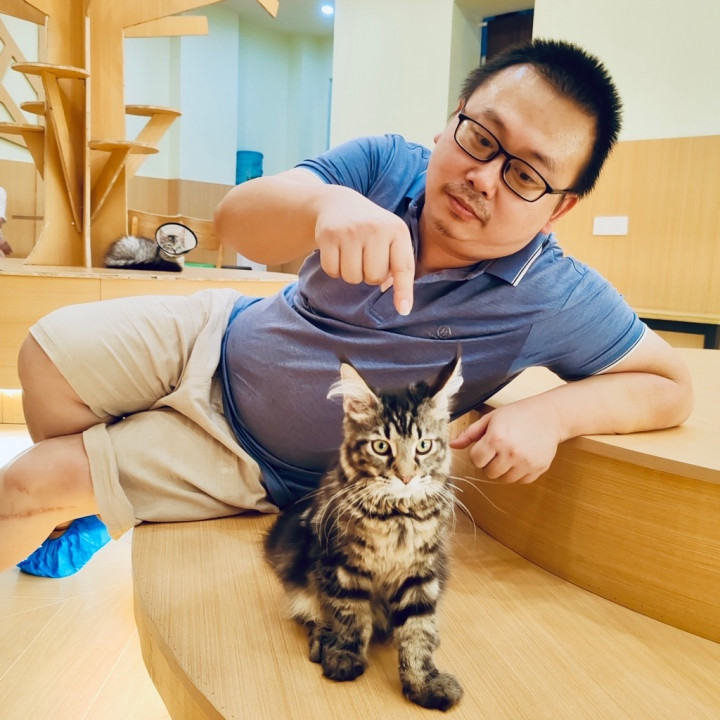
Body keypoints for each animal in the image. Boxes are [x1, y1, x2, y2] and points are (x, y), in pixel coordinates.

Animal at [264, 356, 464, 711]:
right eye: (381, 446)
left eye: (424, 445)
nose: (406, 477)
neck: (398, 516)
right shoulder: (342, 565)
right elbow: (350, 615)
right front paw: (344, 655)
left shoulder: (421, 572)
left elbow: (417, 629)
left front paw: (423, 682)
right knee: (315, 613)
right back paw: (322, 642)